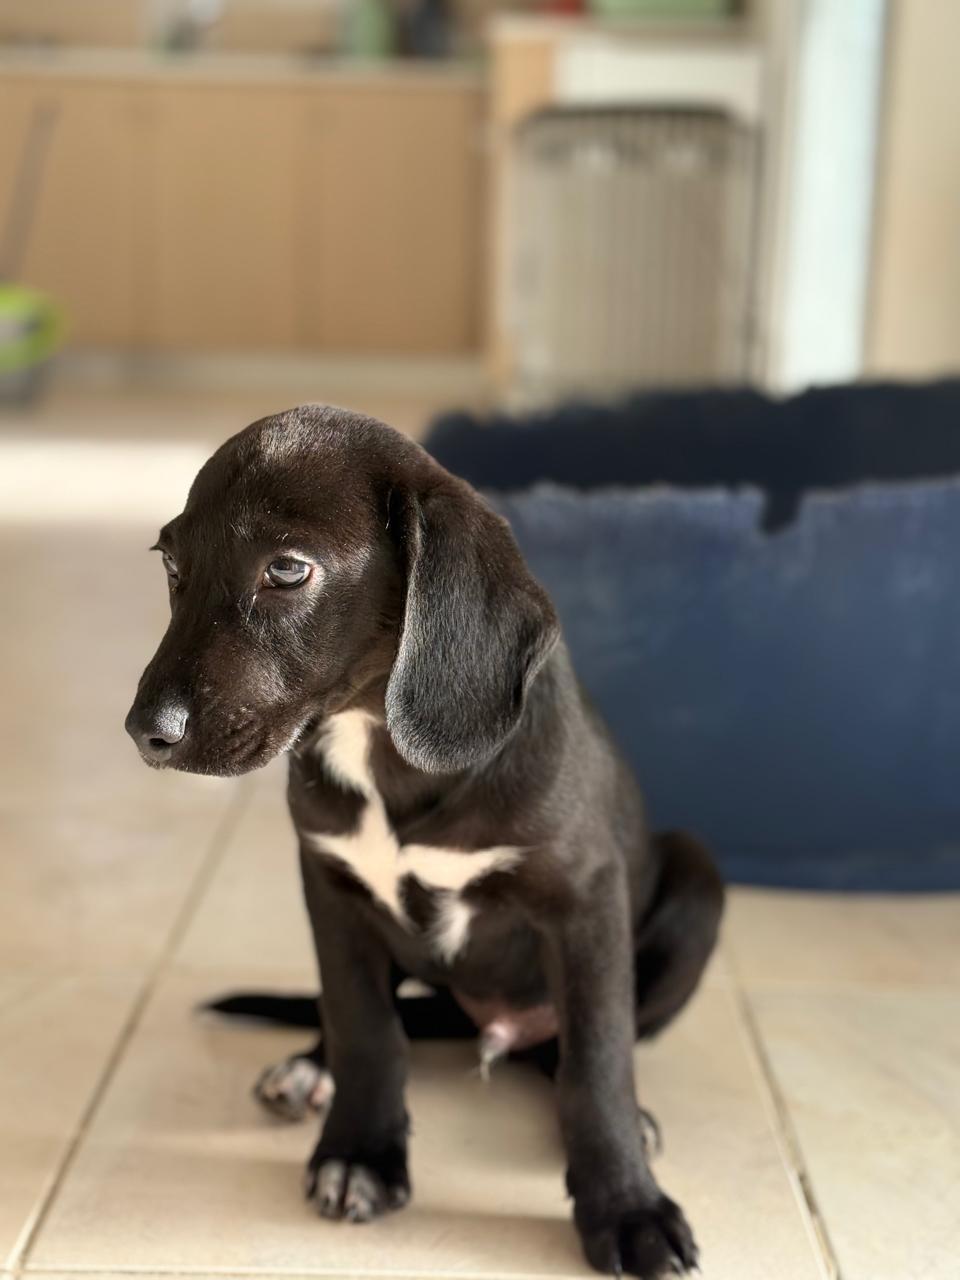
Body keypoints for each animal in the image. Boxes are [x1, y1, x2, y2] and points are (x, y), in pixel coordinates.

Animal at [125, 405, 724, 1279]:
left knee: (565, 1052)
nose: (144, 732)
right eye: (172, 562)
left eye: (288, 571)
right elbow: (365, 1028)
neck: (381, 749)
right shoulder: (331, 892)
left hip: (696, 877)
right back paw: (308, 1066)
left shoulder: (584, 902)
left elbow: (598, 1062)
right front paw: (361, 1153)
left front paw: (627, 1207)